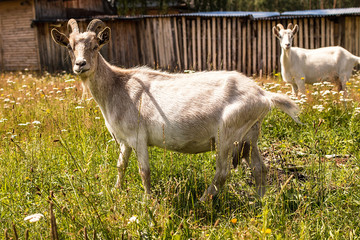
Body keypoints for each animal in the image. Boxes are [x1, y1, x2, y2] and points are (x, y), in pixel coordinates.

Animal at [51, 18, 300, 201]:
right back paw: (260, 201)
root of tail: (263, 95)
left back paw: (202, 201)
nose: (80, 65)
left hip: (227, 134)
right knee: (260, 168)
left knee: (222, 172)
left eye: (95, 46)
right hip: (250, 134)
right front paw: (115, 191)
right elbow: (121, 166)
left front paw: (148, 201)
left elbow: (144, 171)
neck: (118, 86)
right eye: (70, 47)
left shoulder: (139, 137)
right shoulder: (124, 140)